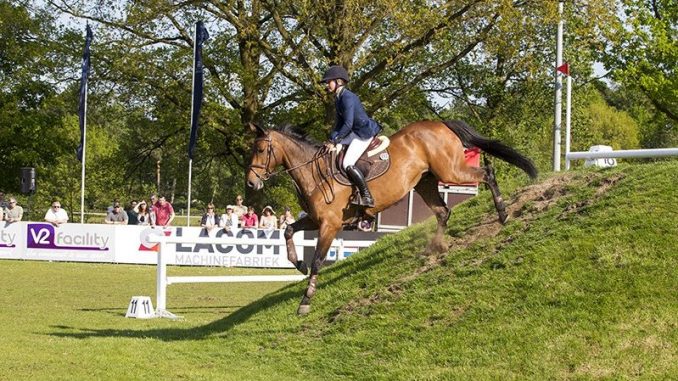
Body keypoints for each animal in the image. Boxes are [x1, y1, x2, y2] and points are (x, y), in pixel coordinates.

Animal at [247, 119, 540, 314]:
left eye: (261, 150)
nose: (251, 183)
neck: (315, 172)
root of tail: (440, 124)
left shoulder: (330, 225)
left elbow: (318, 260)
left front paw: (305, 301)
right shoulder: (315, 219)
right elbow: (288, 231)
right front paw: (298, 264)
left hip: (451, 171)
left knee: (487, 174)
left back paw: (502, 213)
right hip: (425, 182)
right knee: (443, 212)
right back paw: (435, 247)